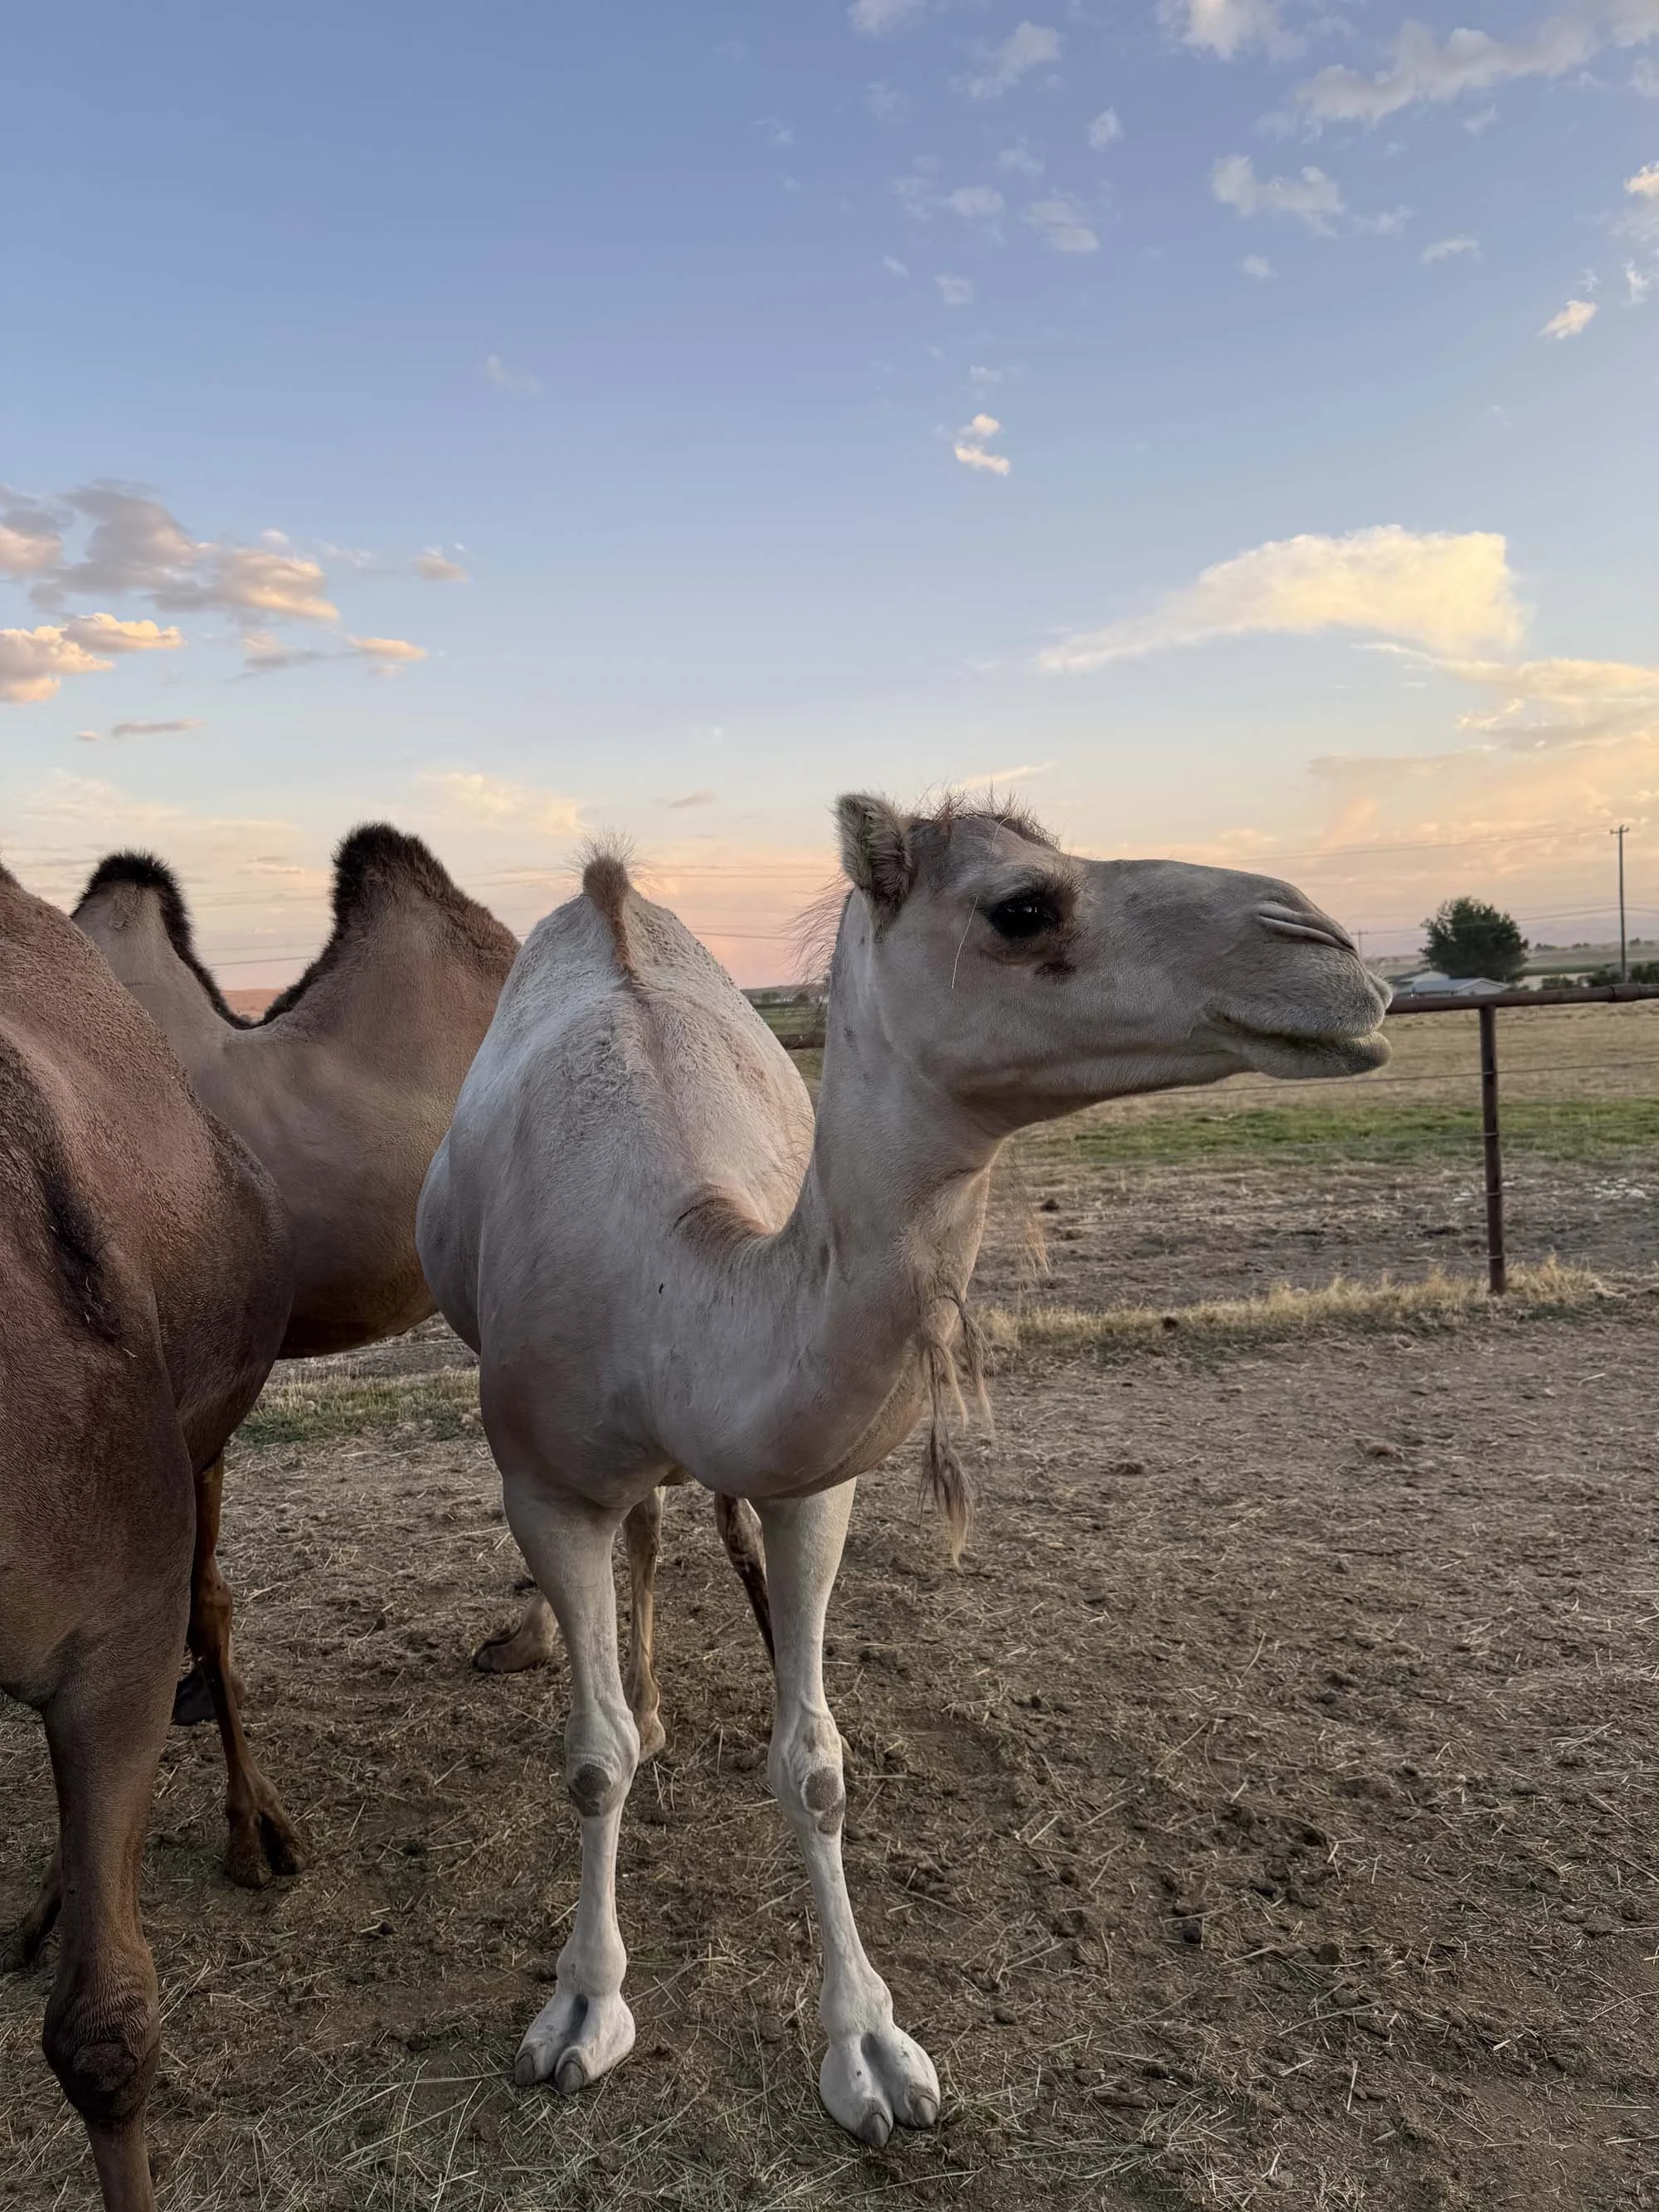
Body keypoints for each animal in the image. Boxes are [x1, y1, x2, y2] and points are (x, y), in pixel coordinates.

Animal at [415, 792, 1392, 2144]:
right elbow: (593, 1757)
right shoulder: (541, 1486)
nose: (1332, 952)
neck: (673, 1286)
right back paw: (650, 1708)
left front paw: (872, 2050)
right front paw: (581, 2011)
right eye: (1022, 905)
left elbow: (816, 1765)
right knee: (641, 1555)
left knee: (675, 1524)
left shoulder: (813, 1482)